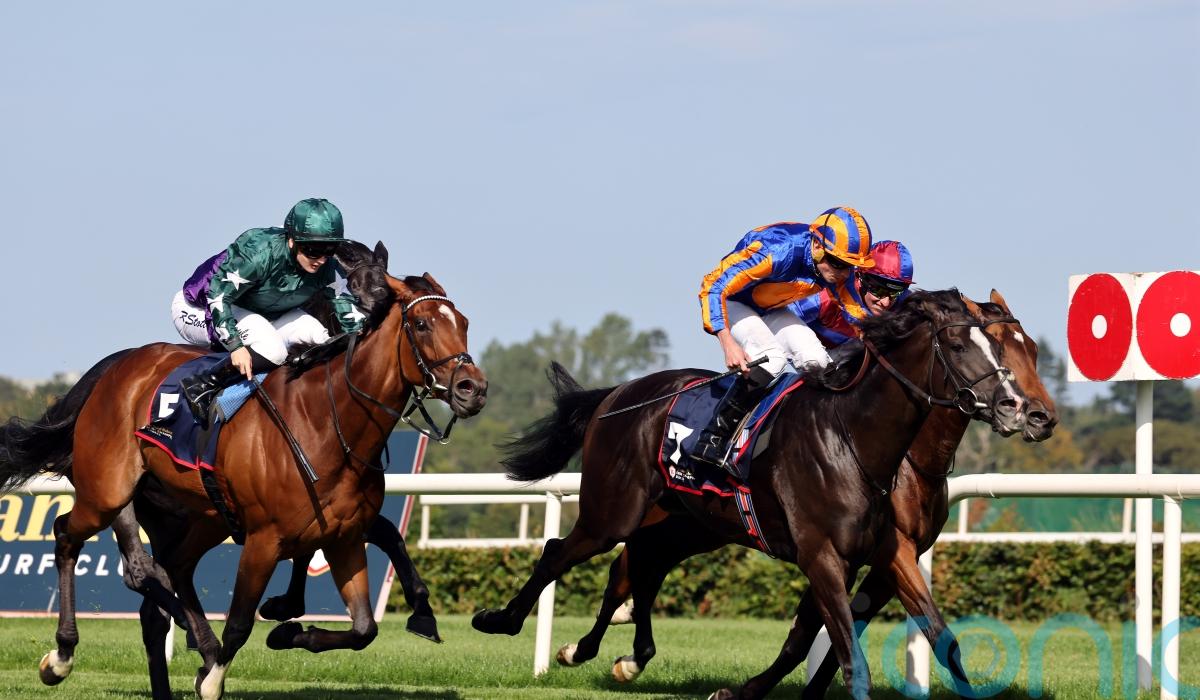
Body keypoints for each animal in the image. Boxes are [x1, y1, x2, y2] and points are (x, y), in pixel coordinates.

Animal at [0, 266, 487, 700]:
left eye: (463, 323)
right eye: (421, 324)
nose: (473, 389)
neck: (327, 423)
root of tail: (114, 368)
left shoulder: (343, 537)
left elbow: (364, 627)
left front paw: (288, 633)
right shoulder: (264, 539)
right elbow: (238, 621)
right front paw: (212, 677)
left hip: (199, 517)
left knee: (169, 572)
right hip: (108, 493)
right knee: (78, 541)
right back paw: (63, 657)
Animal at [472, 289, 1035, 700]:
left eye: (1008, 346)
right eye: (960, 347)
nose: (1020, 408)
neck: (856, 438)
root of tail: (618, 393)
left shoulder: (887, 553)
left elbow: (936, 639)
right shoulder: (822, 555)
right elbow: (843, 653)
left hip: (688, 523)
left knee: (639, 566)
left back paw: (619, 656)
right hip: (614, 509)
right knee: (560, 553)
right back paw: (503, 621)